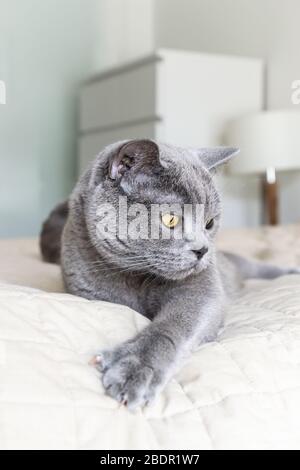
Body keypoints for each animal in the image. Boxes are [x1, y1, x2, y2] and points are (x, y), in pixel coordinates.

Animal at [41, 139, 298, 408]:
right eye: (170, 219)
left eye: (209, 223)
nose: (203, 249)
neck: (137, 277)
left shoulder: (202, 290)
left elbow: (172, 326)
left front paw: (133, 369)